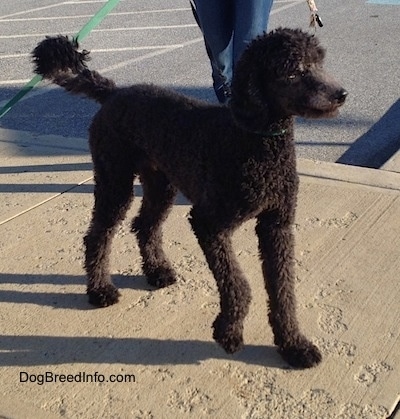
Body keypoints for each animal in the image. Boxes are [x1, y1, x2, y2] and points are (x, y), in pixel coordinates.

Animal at [32, 28, 346, 368]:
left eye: (319, 61)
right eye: (293, 70)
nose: (341, 94)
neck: (253, 140)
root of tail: (114, 93)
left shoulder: (277, 226)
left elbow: (283, 289)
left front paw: (293, 345)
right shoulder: (209, 223)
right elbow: (238, 284)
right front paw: (228, 330)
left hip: (161, 184)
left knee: (145, 225)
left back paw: (156, 271)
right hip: (114, 179)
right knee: (98, 235)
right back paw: (100, 290)